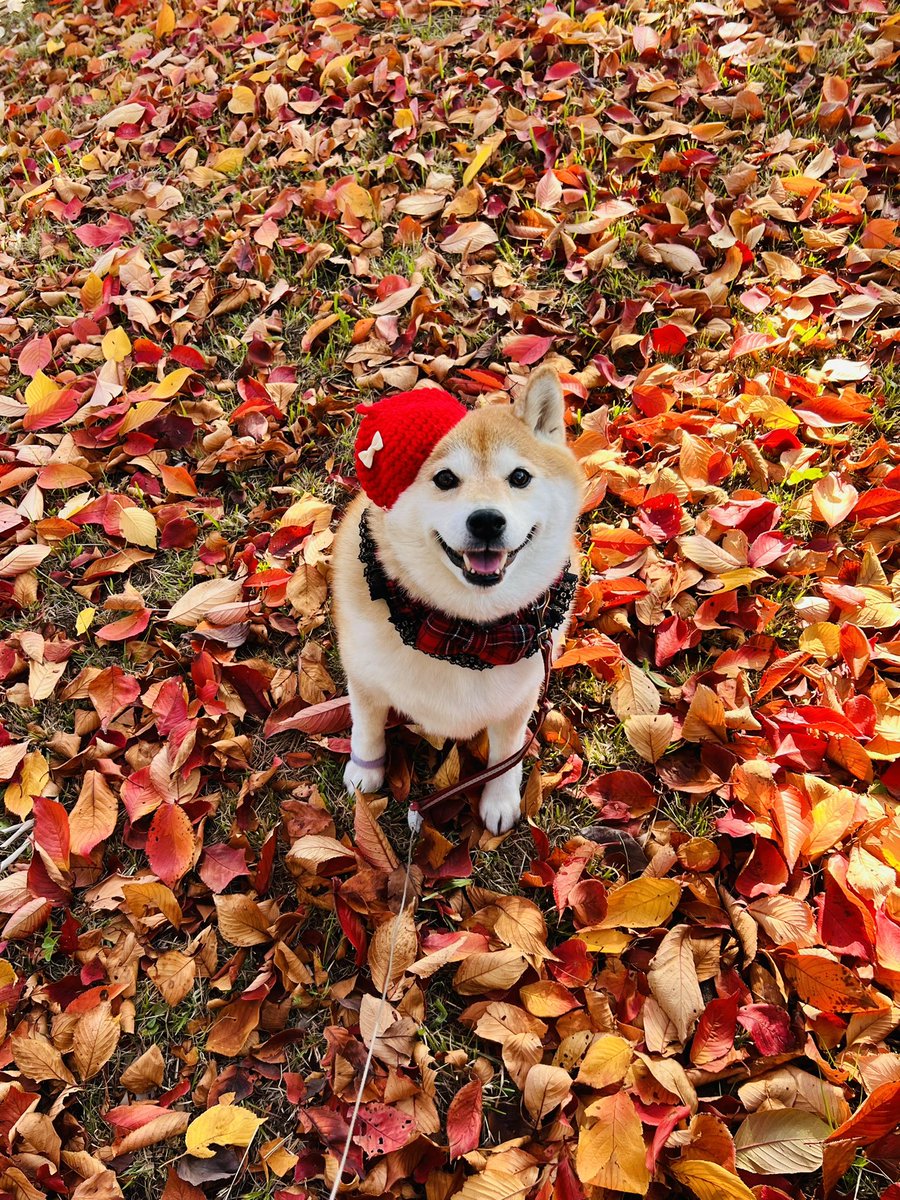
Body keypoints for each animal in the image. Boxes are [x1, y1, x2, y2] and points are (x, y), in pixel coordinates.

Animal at [331, 366, 583, 834]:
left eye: (520, 477)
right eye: (445, 479)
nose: (486, 521)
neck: (470, 635)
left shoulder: (520, 700)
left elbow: (507, 754)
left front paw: (499, 798)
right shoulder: (364, 677)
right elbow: (367, 726)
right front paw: (365, 769)